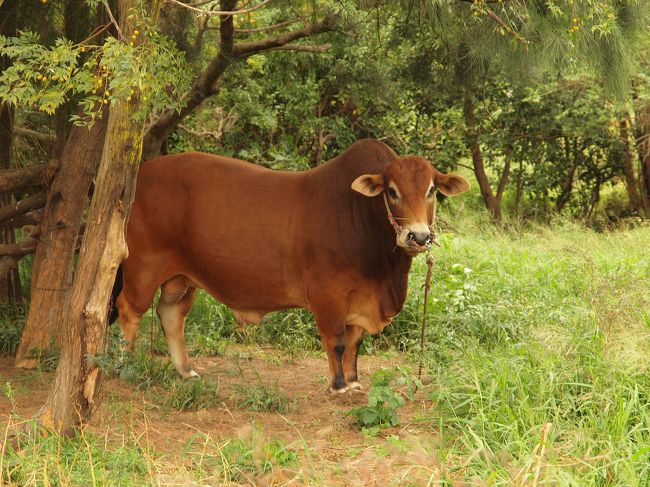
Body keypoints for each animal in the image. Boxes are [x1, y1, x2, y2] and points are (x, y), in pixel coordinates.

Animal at [112, 139, 466, 394]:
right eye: (392, 191)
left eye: (431, 190)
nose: (418, 236)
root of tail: (140, 177)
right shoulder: (328, 294)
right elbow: (337, 340)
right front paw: (338, 386)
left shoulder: (359, 298)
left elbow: (355, 342)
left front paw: (353, 380)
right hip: (144, 266)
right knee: (129, 310)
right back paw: (125, 363)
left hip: (182, 277)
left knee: (171, 314)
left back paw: (186, 370)